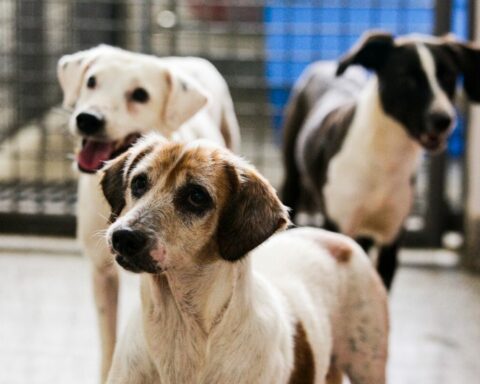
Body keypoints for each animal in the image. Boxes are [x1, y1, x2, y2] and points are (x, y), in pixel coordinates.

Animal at [102, 136, 390, 384]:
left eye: (196, 196)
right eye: (139, 183)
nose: (123, 237)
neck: (180, 327)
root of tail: (335, 238)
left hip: (369, 365)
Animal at [282, 31, 480, 288]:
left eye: (448, 76)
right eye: (407, 78)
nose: (443, 119)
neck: (385, 157)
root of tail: (322, 64)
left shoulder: (391, 237)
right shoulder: (339, 226)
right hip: (293, 179)